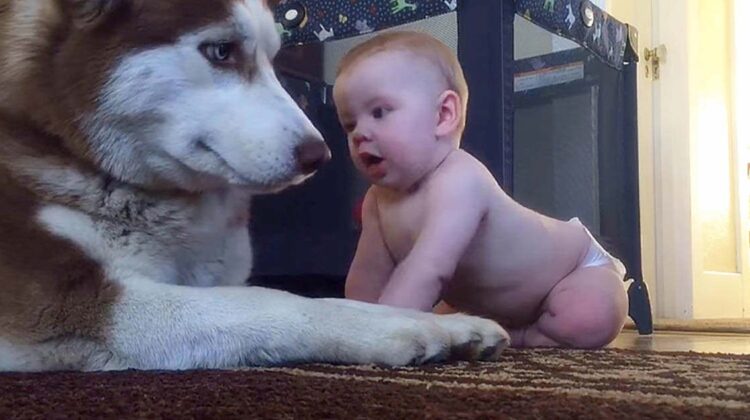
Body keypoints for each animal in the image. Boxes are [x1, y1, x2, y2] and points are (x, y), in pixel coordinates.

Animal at [0, 0, 509, 371]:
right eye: (222, 51)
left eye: (273, 60)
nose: (319, 155)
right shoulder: (61, 303)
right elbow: (271, 301)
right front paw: (399, 330)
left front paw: (449, 324)